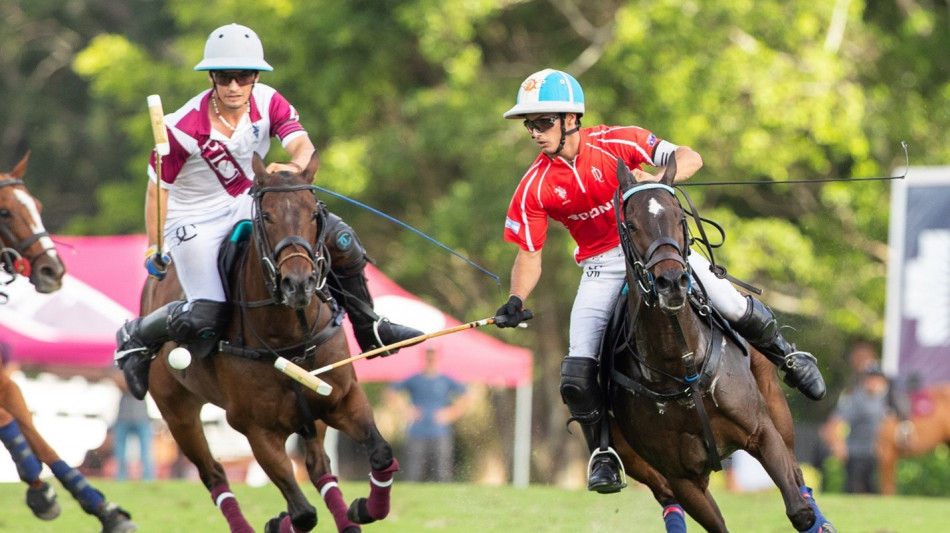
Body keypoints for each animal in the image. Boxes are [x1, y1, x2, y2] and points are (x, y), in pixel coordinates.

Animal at [0, 152, 137, 532]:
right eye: (5, 212)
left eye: (37, 206)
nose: (53, 270)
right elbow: (10, 421)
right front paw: (39, 489)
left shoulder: (5, 376)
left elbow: (34, 433)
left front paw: (104, 510)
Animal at [143, 153, 396, 533]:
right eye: (266, 216)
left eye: (313, 213)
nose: (299, 284)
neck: (291, 334)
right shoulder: (254, 428)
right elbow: (303, 513)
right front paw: (279, 522)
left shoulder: (343, 399)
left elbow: (381, 453)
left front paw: (362, 508)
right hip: (176, 410)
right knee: (214, 473)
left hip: (312, 416)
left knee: (319, 467)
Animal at [605, 157, 834, 532]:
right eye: (633, 225)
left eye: (680, 218)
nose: (672, 281)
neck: (679, 366)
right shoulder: (682, 477)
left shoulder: (762, 432)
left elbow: (799, 510)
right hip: (637, 461)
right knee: (665, 498)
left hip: (777, 409)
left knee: (799, 477)